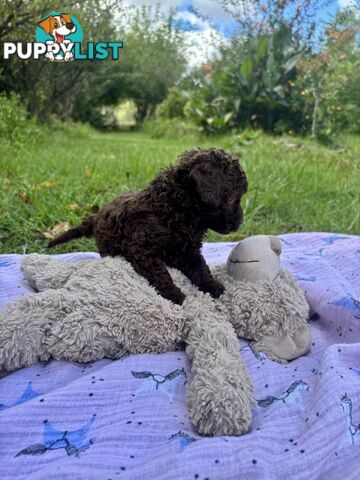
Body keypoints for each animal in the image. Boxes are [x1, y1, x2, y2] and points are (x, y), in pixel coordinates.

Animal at [48, 148, 248, 304]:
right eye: (234, 198)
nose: (241, 220)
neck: (178, 207)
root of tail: (96, 216)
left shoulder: (187, 249)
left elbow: (200, 268)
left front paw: (214, 287)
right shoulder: (142, 248)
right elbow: (160, 273)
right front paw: (175, 296)